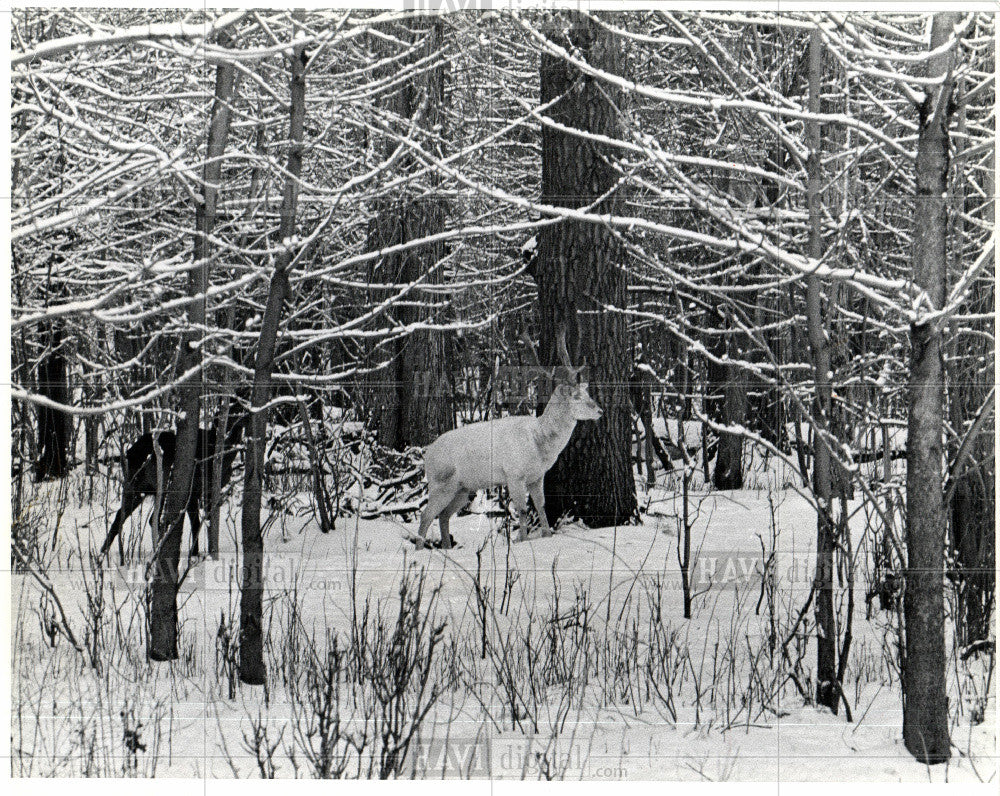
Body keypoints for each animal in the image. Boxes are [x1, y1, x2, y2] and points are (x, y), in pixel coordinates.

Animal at [414, 330, 600, 548]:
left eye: (587, 392)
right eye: (577, 396)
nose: (600, 410)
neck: (539, 443)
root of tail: (427, 455)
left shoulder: (537, 476)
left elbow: (541, 506)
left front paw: (546, 535)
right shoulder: (514, 474)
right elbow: (522, 509)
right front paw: (522, 540)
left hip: (462, 489)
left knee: (443, 516)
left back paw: (447, 547)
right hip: (441, 482)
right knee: (426, 515)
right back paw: (420, 549)